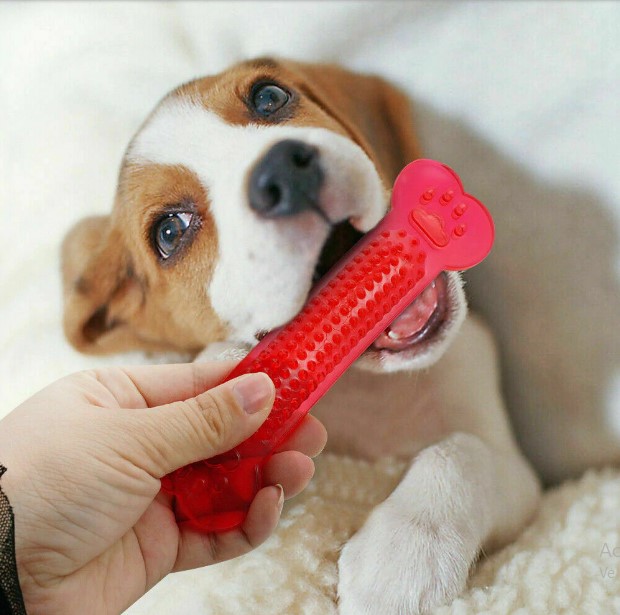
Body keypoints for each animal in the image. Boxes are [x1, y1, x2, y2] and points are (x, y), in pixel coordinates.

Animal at [60, 57, 540, 615]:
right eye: (170, 232)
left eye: (269, 97)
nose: (284, 172)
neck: (373, 391)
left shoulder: (520, 471)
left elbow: (461, 451)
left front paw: (404, 554)